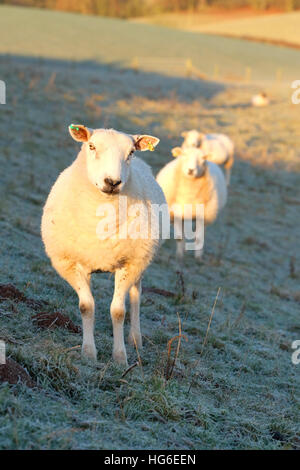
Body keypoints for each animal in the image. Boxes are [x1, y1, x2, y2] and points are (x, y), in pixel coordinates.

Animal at [41, 123, 166, 366]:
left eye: (131, 152)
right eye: (91, 146)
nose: (112, 182)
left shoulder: (130, 263)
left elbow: (118, 311)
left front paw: (120, 357)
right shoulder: (70, 263)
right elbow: (86, 306)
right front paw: (89, 353)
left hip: (141, 260)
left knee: (136, 297)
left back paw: (135, 339)